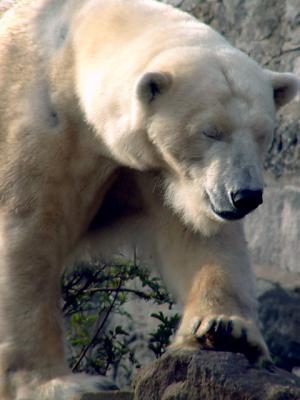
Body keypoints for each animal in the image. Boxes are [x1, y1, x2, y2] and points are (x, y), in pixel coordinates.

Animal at [0, 0, 298, 398]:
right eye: (210, 131)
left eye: (262, 133)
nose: (245, 196)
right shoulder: (38, 124)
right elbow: (28, 236)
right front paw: (61, 381)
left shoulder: (158, 170)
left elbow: (195, 234)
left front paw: (225, 329)